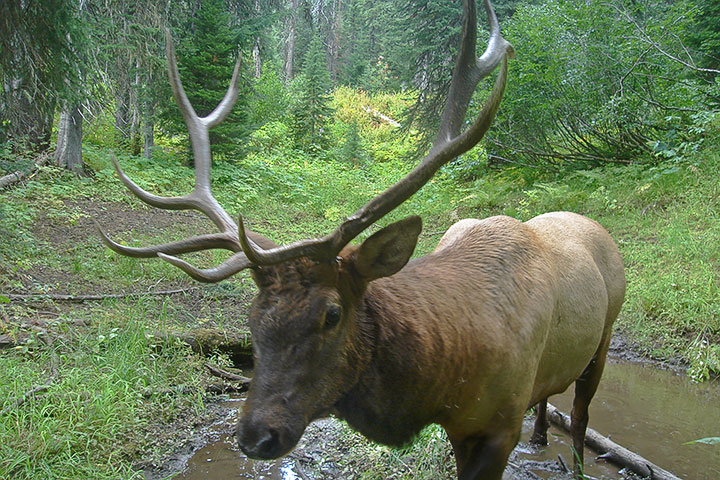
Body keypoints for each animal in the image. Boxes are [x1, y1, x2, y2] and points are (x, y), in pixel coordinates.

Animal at [97, 1, 624, 478]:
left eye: (332, 314)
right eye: (252, 316)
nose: (254, 436)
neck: (452, 378)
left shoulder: (498, 425)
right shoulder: (463, 428)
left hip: (605, 336)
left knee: (580, 415)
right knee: (549, 397)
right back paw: (542, 439)